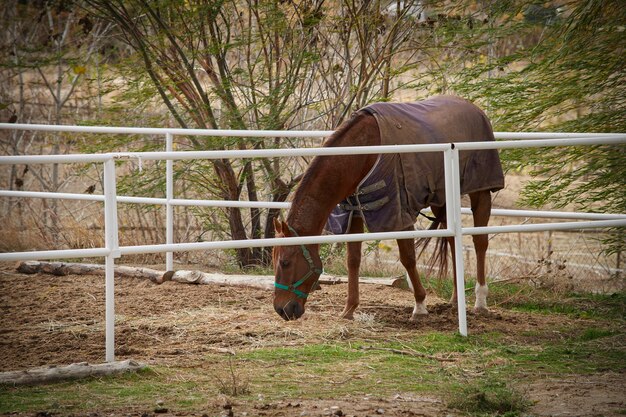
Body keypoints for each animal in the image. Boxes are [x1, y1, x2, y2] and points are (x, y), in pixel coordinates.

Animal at [272, 96, 502, 320]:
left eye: (285, 262)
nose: (282, 310)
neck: (364, 152)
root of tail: (476, 109)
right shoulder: (354, 212)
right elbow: (353, 260)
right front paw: (349, 309)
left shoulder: (399, 214)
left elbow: (408, 258)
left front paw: (420, 305)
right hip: (442, 199)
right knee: (453, 240)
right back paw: (456, 298)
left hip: (481, 192)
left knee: (480, 242)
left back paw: (481, 301)